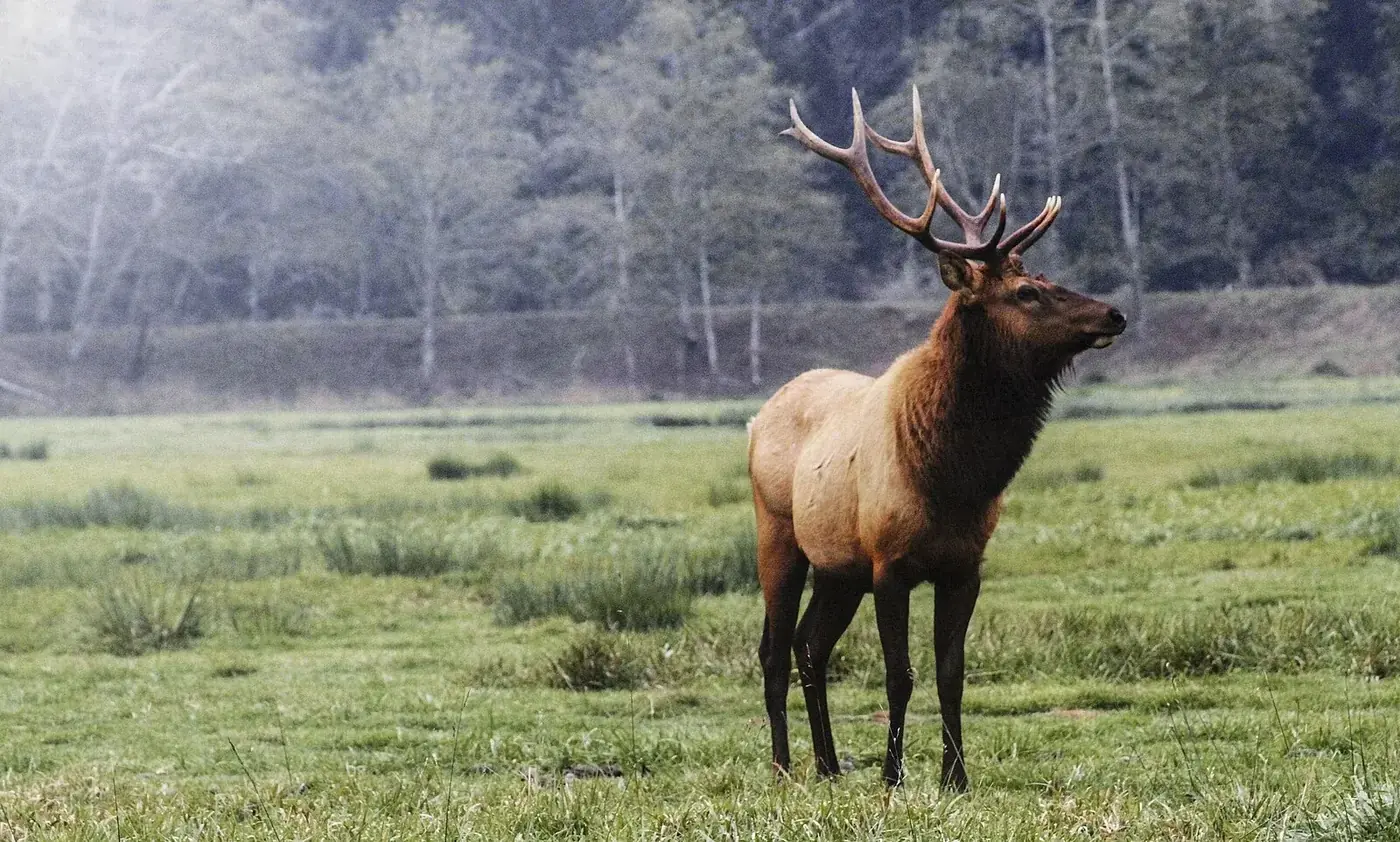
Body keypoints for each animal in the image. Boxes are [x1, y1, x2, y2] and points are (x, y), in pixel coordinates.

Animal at [748, 88, 1126, 790]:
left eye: (1045, 274)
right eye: (1026, 291)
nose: (1115, 313)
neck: (951, 478)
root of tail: (758, 418)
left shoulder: (963, 567)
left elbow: (952, 674)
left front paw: (956, 776)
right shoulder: (889, 563)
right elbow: (900, 675)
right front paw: (893, 775)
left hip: (839, 566)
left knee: (811, 645)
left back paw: (830, 765)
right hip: (779, 534)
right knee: (774, 649)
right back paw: (786, 766)